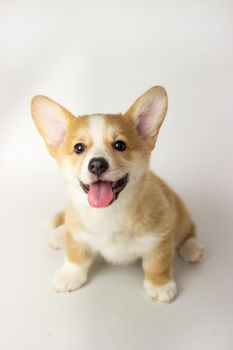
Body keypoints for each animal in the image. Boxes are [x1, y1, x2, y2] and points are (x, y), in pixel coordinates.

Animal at [31, 86, 204, 302]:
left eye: (120, 145)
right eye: (79, 148)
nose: (97, 164)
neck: (108, 212)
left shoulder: (160, 238)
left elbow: (158, 265)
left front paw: (160, 286)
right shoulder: (78, 237)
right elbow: (75, 255)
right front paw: (69, 275)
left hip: (180, 215)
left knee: (188, 230)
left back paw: (192, 248)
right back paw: (60, 234)